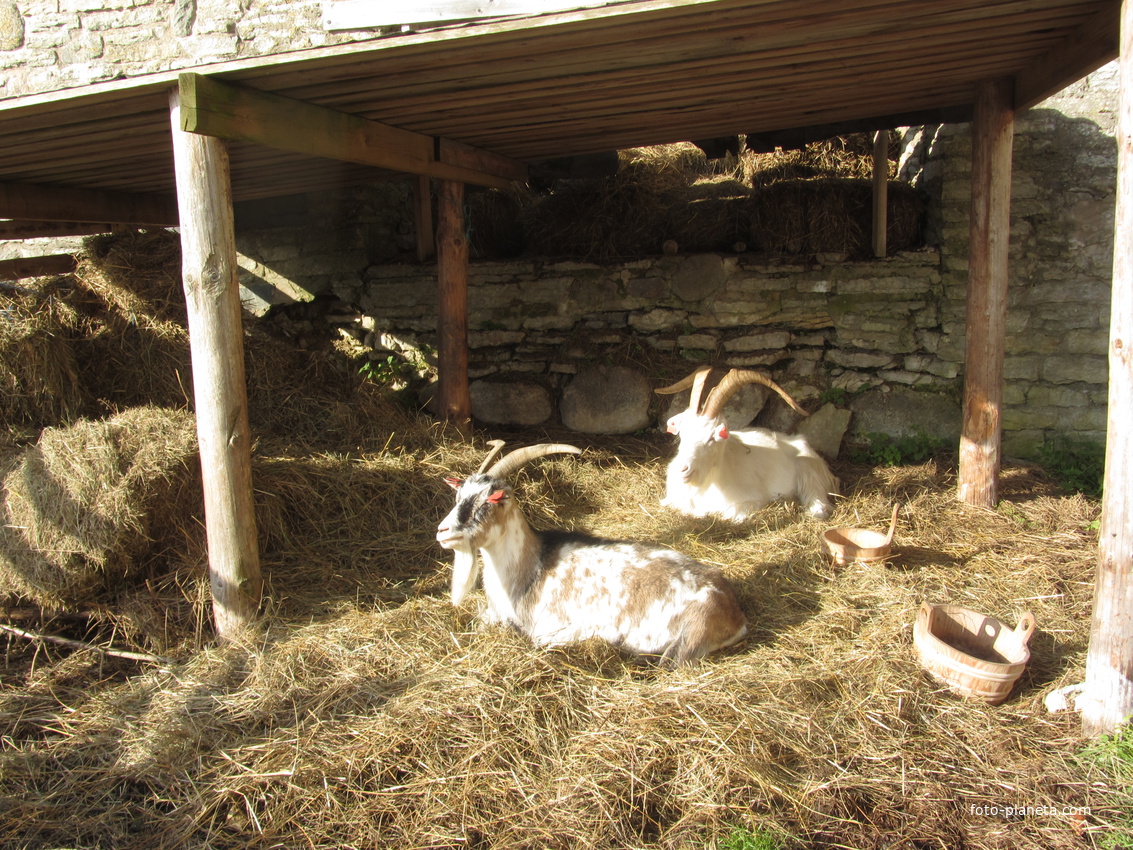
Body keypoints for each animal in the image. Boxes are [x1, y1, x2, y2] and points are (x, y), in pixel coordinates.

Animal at [430, 442, 743, 670]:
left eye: (490, 501)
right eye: (459, 496)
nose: (443, 531)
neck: (532, 567)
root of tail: (732, 610)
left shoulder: (556, 629)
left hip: (687, 638)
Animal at [657, 367, 842, 523]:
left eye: (711, 438)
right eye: (682, 433)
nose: (682, 469)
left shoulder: (751, 501)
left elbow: (730, 516)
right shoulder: (671, 499)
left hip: (809, 472)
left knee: (818, 500)